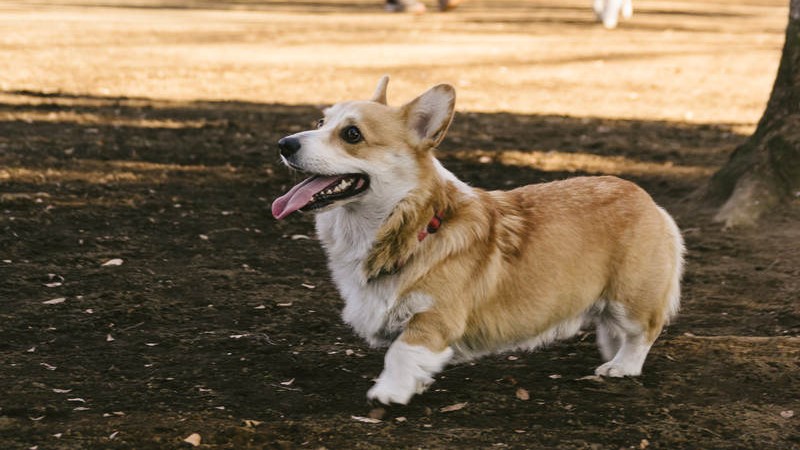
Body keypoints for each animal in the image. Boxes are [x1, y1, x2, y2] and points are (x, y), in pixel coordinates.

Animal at [272, 77, 684, 404]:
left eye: (352, 134)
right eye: (320, 122)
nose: (284, 143)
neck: (412, 227)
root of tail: (647, 199)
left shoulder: (435, 318)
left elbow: (401, 353)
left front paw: (388, 393)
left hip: (630, 298)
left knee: (644, 332)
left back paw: (621, 366)